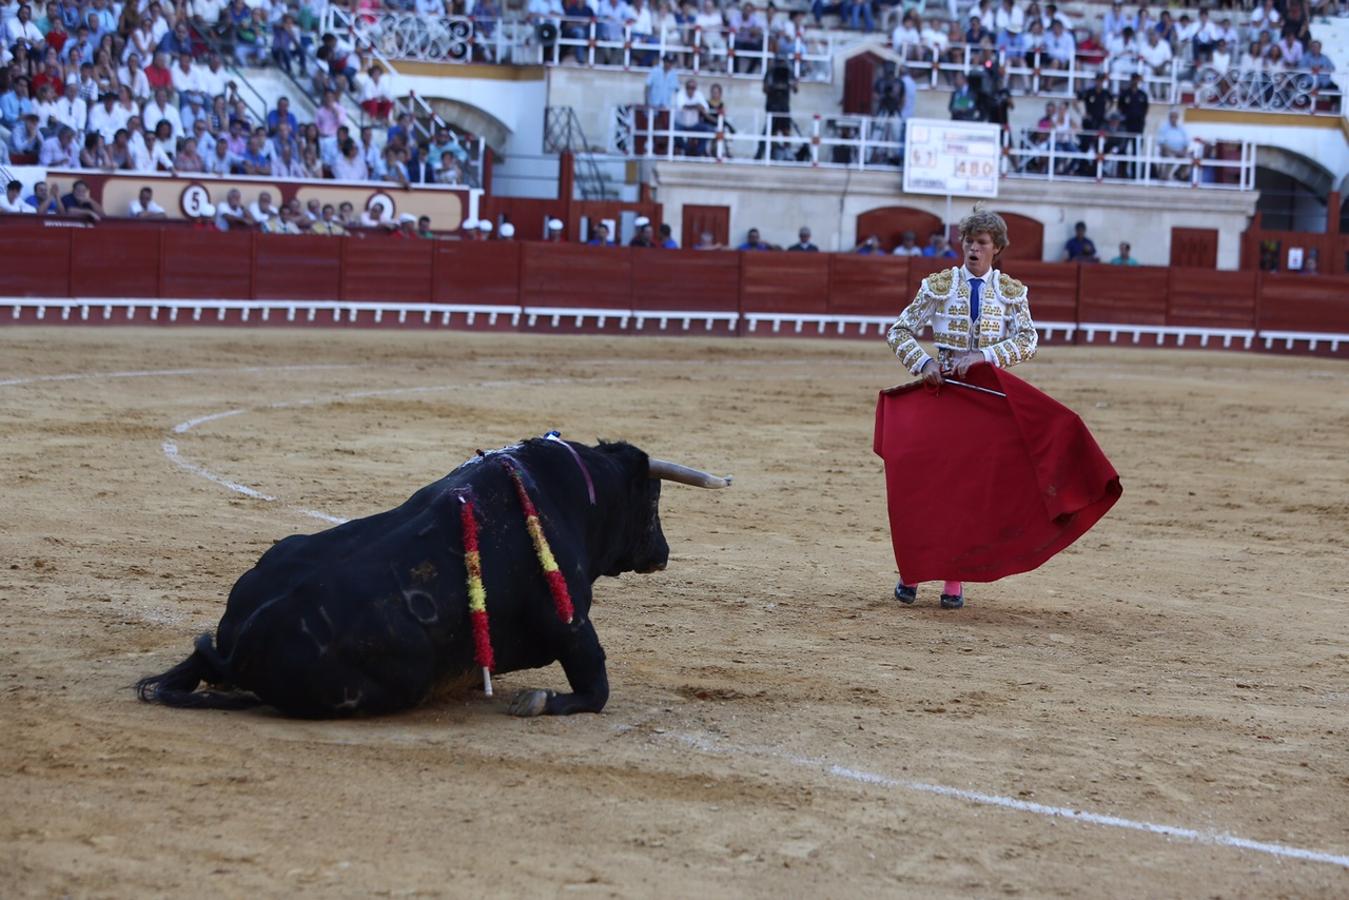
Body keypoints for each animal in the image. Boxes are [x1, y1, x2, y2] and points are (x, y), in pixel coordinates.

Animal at [136, 439, 728, 723]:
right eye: (652, 498)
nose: (663, 553)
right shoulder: (570, 622)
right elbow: (596, 688)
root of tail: (240, 639)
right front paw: (536, 701)